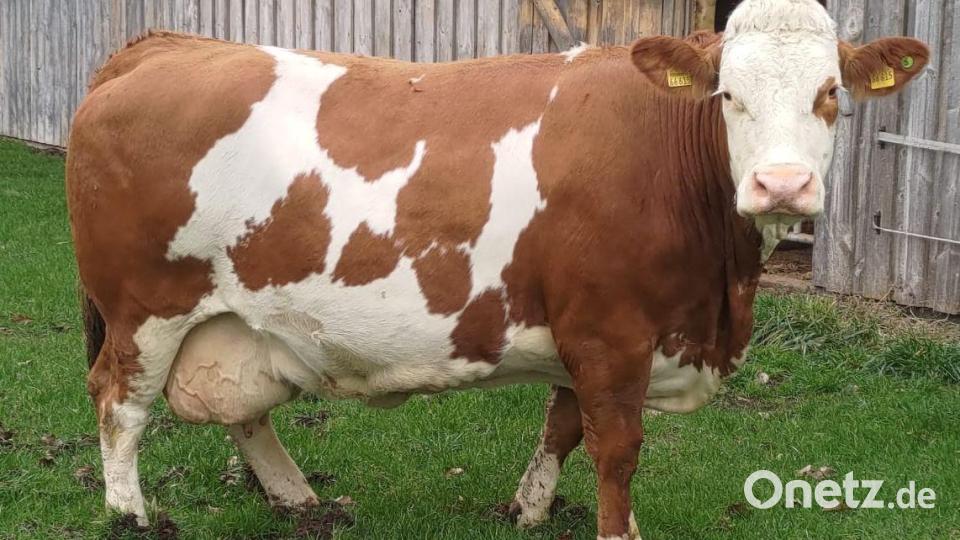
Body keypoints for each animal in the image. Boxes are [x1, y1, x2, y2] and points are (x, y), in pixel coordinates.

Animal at [66, 0, 927, 537]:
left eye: (831, 93)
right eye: (727, 96)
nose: (782, 185)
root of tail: (160, 46)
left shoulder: (589, 328)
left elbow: (563, 426)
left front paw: (532, 509)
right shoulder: (612, 332)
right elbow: (616, 448)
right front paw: (617, 528)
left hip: (239, 315)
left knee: (239, 408)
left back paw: (299, 498)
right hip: (145, 309)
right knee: (119, 402)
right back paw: (129, 515)